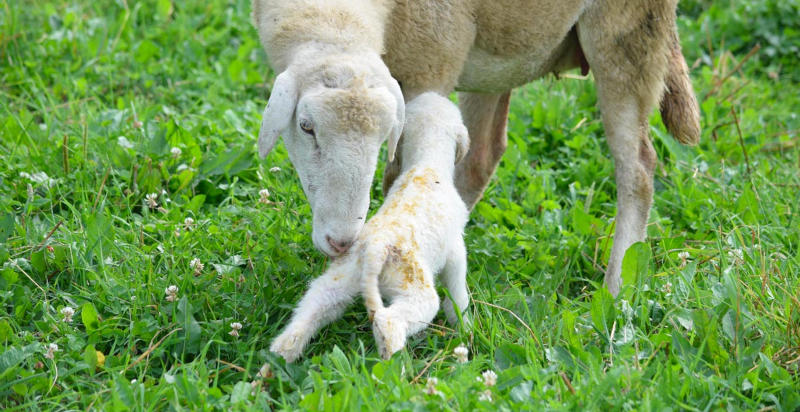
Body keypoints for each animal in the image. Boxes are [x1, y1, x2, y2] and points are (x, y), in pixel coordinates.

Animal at [252, 0, 701, 296]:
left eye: (384, 137)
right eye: (306, 127)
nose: (343, 241)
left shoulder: (432, 62)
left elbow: (399, 177)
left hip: (625, 31)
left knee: (638, 168)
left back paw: (616, 289)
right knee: (482, 153)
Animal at [269, 92, 470, 362]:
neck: (427, 163)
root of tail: (376, 247)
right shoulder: (456, 250)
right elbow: (458, 295)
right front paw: (465, 330)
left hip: (341, 277)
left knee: (308, 314)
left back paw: (273, 363)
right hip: (412, 286)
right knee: (390, 322)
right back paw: (393, 366)